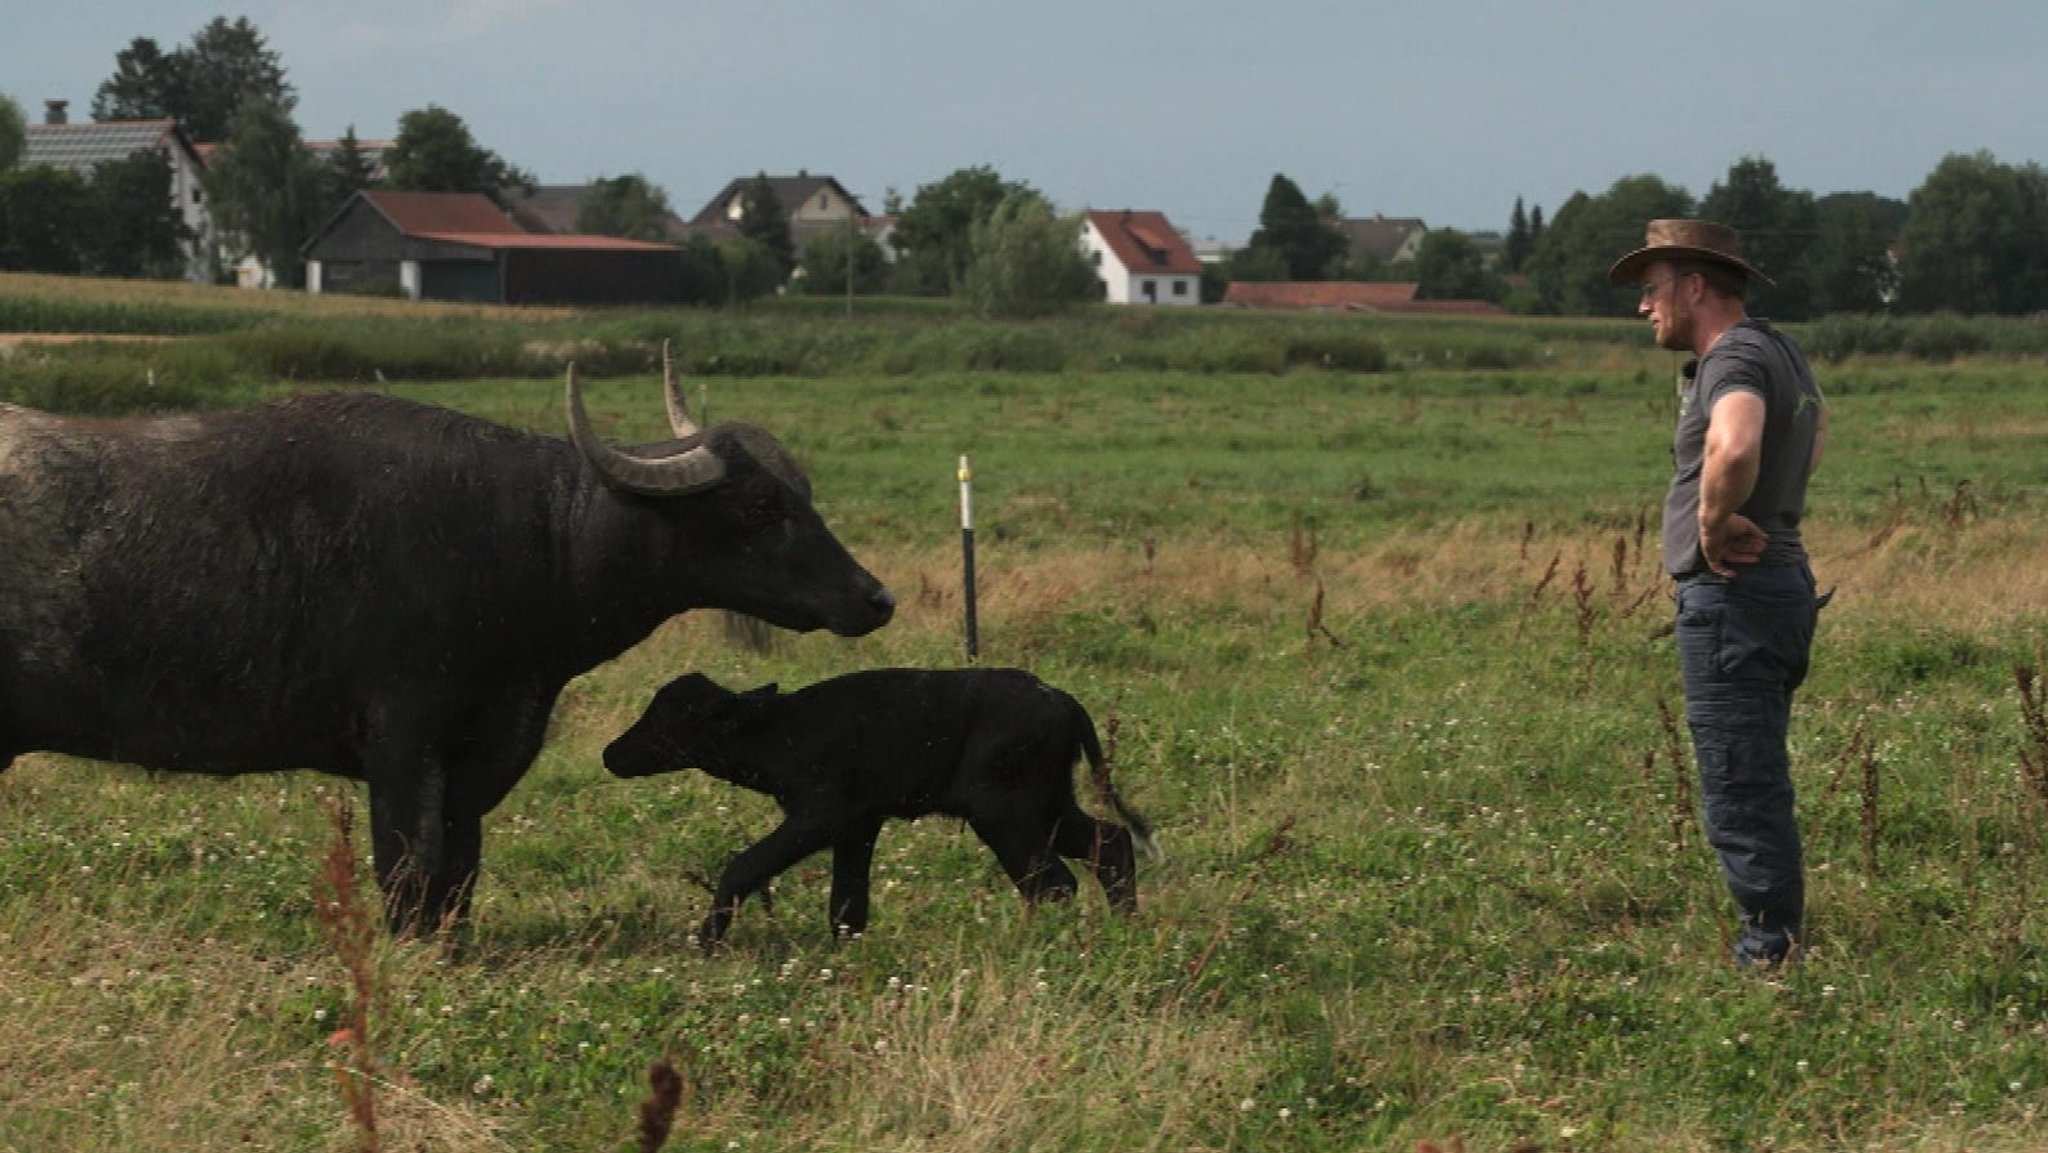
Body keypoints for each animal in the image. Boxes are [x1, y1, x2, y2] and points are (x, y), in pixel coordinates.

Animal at [0, 354, 897, 937]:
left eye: (804, 490)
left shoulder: (483, 755)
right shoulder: (403, 741)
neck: (531, 538)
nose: (874, 596)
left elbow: (459, 875)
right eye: (760, 505)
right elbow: (409, 870)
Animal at [598, 667, 1163, 946]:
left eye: (669, 719)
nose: (610, 753)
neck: (779, 730)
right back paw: (1126, 927)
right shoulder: (859, 824)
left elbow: (744, 867)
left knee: (1052, 884)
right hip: (1049, 804)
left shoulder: (820, 815)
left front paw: (706, 942)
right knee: (1111, 844)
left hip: (1004, 812)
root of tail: (1059, 698)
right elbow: (848, 907)